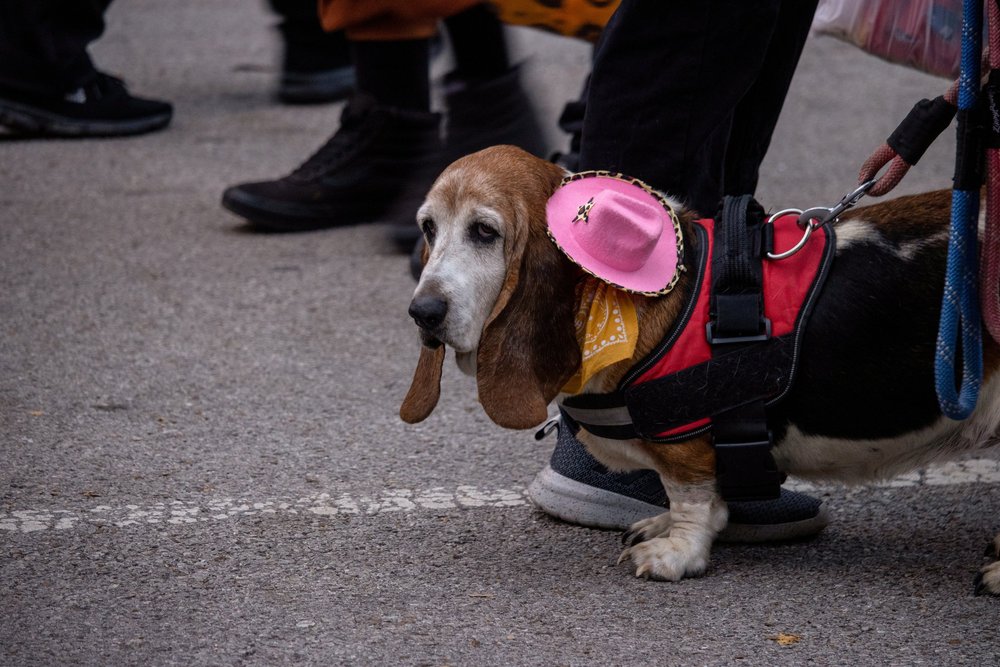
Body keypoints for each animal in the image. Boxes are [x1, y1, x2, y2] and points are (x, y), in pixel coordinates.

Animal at [400, 144, 1000, 593]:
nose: (422, 313)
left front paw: (675, 551)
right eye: (427, 227)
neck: (611, 295)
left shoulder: (687, 446)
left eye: (485, 232)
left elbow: (692, 498)